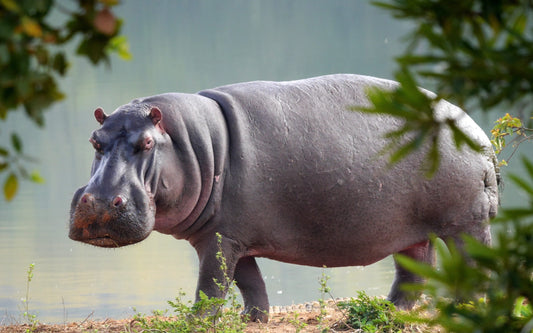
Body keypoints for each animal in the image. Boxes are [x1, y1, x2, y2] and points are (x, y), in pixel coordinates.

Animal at [68, 74, 496, 320]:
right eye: (94, 140)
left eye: (146, 143)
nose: (100, 203)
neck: (192, 143)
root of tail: (477, 131)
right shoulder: (229, 235)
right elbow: (249, 283)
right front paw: (252, 320)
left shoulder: (220, 239)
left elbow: (211, 286)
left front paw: (196, 323)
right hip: (413, 232)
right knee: (413, 273)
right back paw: (382, 314)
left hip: (466, 223)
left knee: (475, 266)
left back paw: (464, 308)